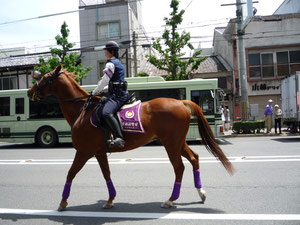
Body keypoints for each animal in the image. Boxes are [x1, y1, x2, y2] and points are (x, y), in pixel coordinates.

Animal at [27, 65, 234, 211]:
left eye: (45, 78)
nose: (29, 91)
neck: (83, 110)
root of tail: (181, 102)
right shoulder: (99, 152)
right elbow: (107, 174)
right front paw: (110, 200)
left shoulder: (84, 151)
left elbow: (70, 173)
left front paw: (63, 202)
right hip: (177, 142)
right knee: (194, 158)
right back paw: (201, 193)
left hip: (171, 143)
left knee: (179, 167)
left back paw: (170, 200)